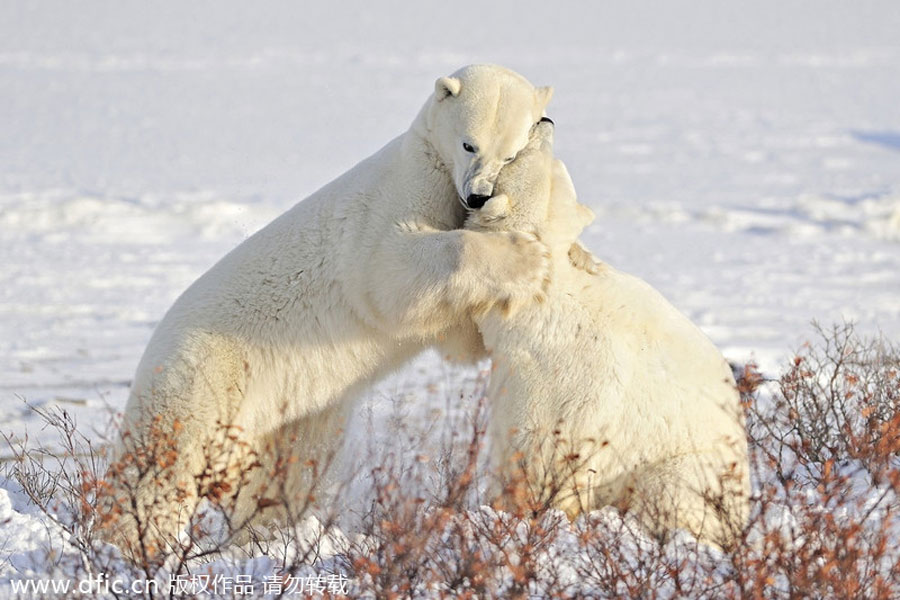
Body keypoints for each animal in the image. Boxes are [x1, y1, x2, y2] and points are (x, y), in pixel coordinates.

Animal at [105, 64, 560, 552]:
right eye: (468, 144)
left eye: (510, 155)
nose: (477, 196)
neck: (430, 162)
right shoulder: (396, 198)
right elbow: (390, 270)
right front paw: (529, 258)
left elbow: (457, 334)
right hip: (207, 369)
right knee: (167, 458)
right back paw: (125, 542)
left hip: (289, 407)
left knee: (287, 467)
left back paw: (269, 535)